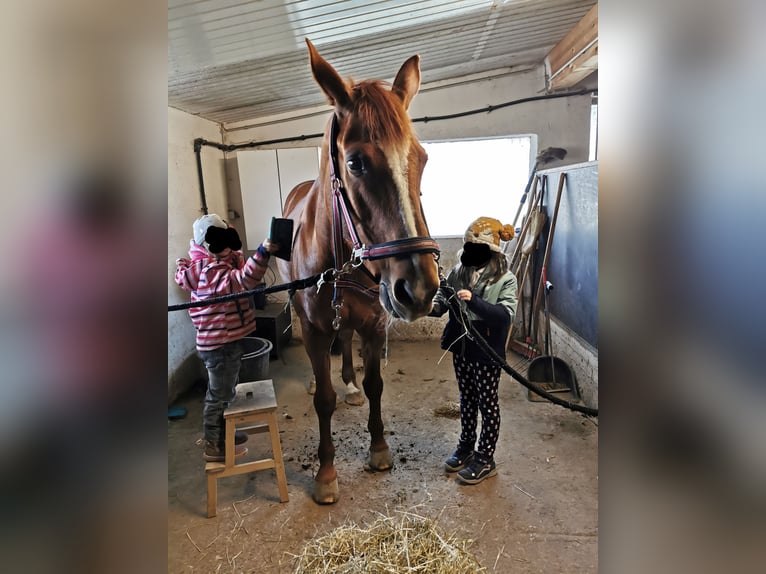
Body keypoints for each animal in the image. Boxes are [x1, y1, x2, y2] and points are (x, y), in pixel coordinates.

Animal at [280, 40, 440, 506]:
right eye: (355, 163)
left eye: (422, 158)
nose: (419, 289)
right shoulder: (316, 331)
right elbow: (324, 400)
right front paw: (326, 474)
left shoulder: (374, 323)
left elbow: (375, 385)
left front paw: (380, 449)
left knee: (347, 342)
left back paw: (349, 384)